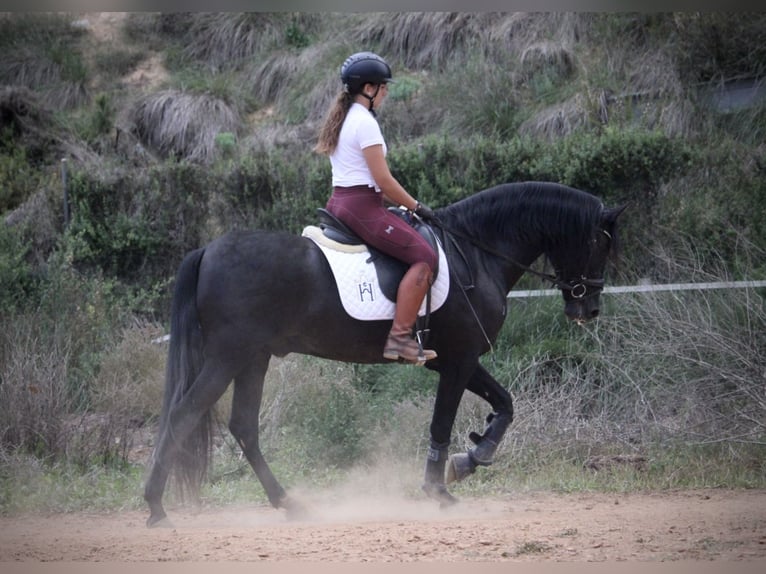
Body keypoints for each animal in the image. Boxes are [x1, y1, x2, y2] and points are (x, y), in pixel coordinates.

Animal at [144, 182, 632, 528]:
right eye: (598, 243)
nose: (588, 308)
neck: (475, 253)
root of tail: (209, 250)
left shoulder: (455, 359)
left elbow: (506, 405)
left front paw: (471, 458)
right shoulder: (458, 360)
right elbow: (443, 422)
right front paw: (440, 488)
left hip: (254, 358)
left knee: (243, 426)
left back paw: (289, 504)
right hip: (228, 356)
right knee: (183, 414)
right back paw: (156, 509)